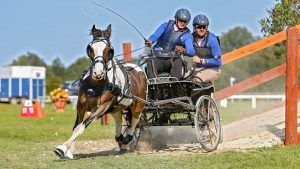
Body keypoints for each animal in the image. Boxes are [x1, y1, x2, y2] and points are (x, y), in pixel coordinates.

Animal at [54, 24, 148, 159]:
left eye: (109, 50)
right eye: (91, 49)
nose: (98, 73)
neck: (95, 84)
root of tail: (138, 68)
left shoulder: (100, 108)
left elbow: (81, 127)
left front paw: (62, 148)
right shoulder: (81, 106)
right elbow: (76, 127)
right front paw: (69, 151)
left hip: (138, 105)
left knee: (135, 121)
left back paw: (128, 139)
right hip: (116, 107)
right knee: (119, 121)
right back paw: (121, 140)